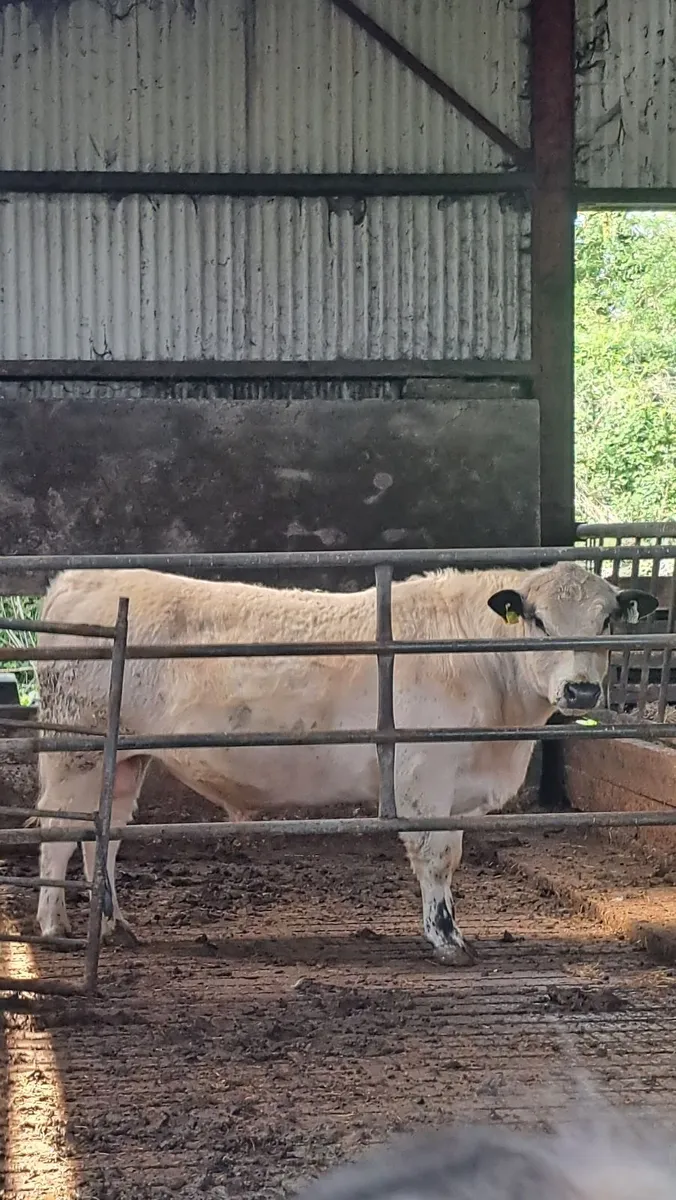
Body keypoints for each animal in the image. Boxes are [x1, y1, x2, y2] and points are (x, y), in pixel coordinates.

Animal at [34, 562, 657, 963]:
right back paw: (52, 923)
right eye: (538, 620)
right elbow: (438, 858)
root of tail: (77, 580)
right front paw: (447, 939)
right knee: (57, 833)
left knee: (104, 837)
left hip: (123, 761)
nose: (580, 690)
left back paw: (113, 923)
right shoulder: (424, 776)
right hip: (74, 756)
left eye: (606, 621)